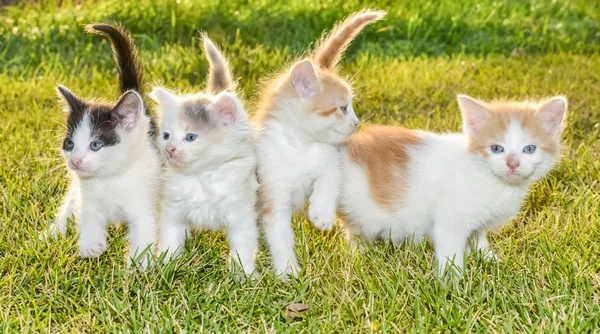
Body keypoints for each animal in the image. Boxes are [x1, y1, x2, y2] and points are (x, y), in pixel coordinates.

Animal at [48, 23, 162, 268]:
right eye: (69, 143)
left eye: (96, 145)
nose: (75, 161)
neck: (109, 178)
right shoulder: (87, 196)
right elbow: (88, 215)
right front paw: (91, 245)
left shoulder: (144, 202)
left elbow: (144, 228)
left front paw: (139, 265)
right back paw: (53, 231)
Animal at [149, 35, 258, 278]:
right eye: (166, 135)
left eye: (190, 137)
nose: (169, 149)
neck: (200, 178)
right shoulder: (173, 210)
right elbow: (171, 239)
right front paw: (167, 265)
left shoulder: (241, 212)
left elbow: (243, 246)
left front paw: (243, 275)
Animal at [255, 9, 386, 276]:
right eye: (343, 108)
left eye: (352, 107)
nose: (357, 122)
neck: (301, 146)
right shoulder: (272, 188)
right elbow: (279, 232)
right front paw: (288, 271)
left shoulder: (333, 160)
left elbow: (328, 182)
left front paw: (321, 214)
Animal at [338, 93, 568, 274]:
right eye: (496, 149)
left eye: (529, 149)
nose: (513, 164)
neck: (487, 177)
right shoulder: (449, 220)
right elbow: (451, 251)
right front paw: (451, 284)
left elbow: (478, 238)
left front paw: (490, 260)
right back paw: (359, 255)